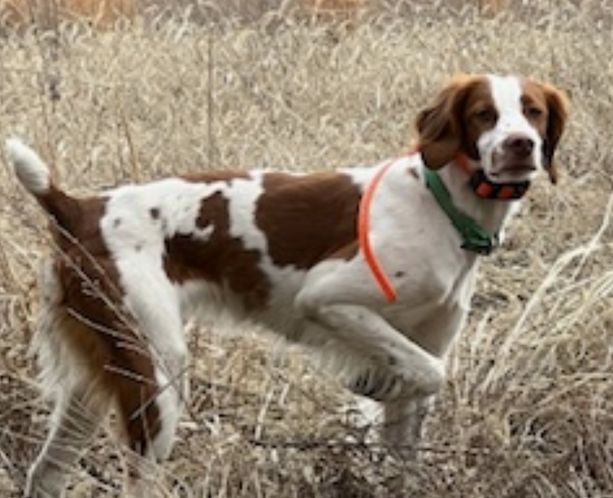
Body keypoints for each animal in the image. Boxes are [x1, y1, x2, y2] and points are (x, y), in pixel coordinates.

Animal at [6, 73, 568, 497]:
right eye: (484, 114)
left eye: (533, 111)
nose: (521, 145)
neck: (442, 202)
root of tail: (78, 208)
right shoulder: (327, 297)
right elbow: (429, 373)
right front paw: (371, 385)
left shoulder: (426, 335)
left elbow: (409, 428)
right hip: (156, 371)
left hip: (97, 376)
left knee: (46, 473)